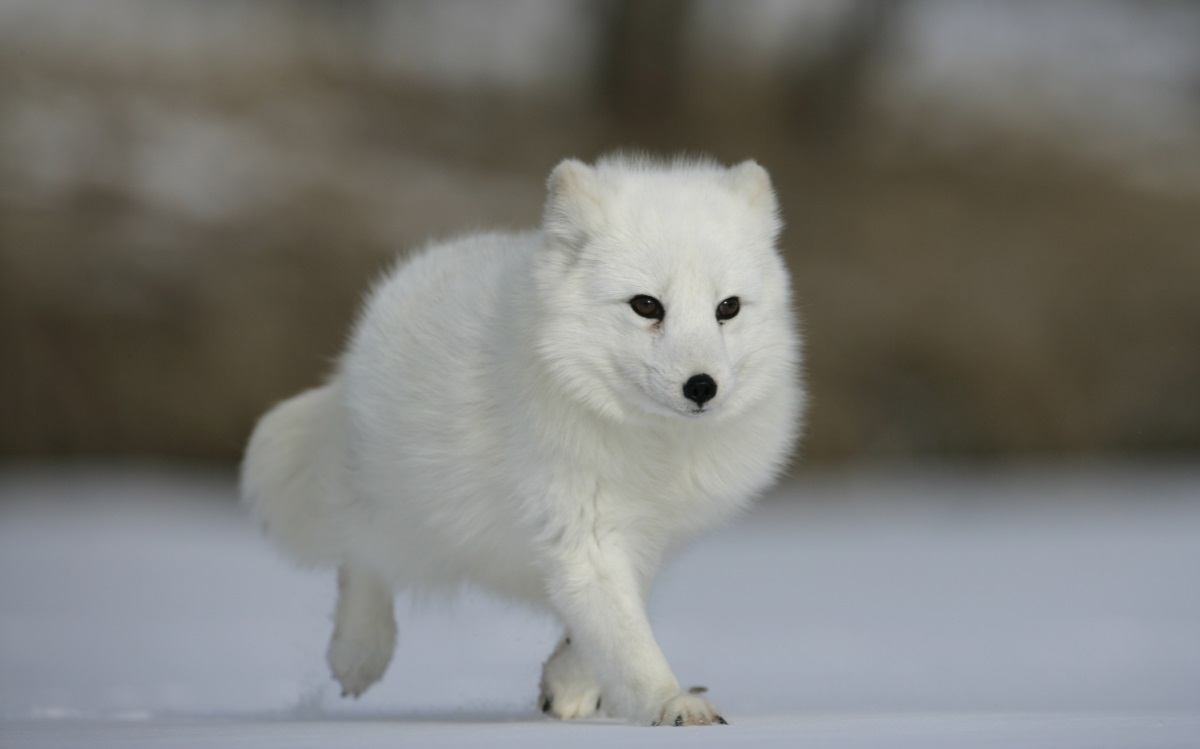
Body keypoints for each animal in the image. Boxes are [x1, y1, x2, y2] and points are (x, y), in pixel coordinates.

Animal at [241, 153, 806, 724]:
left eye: (728, 308)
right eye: (646, 305)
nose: (702, 387)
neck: (651, 445)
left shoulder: (645, 538)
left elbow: (608, 622)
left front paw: (571, 685)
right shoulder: (585, 527)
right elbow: (627, 639)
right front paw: (671, 702)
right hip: (410, 508)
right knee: (360, 551)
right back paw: (358, 653)